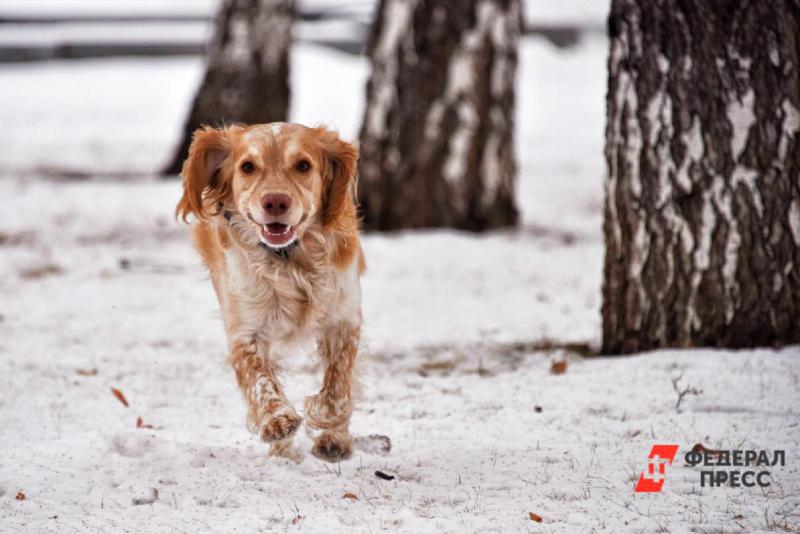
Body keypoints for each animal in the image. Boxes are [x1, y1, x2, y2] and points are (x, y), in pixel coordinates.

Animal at [177, 123, 364, 462]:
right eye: (248, 167)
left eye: (303, 165)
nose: (275, 202)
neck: (289, 258)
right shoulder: (245, 332)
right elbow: (259, 380)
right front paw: (277, 420)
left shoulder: (344, 319)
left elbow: (338, 386)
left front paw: (327, 423)